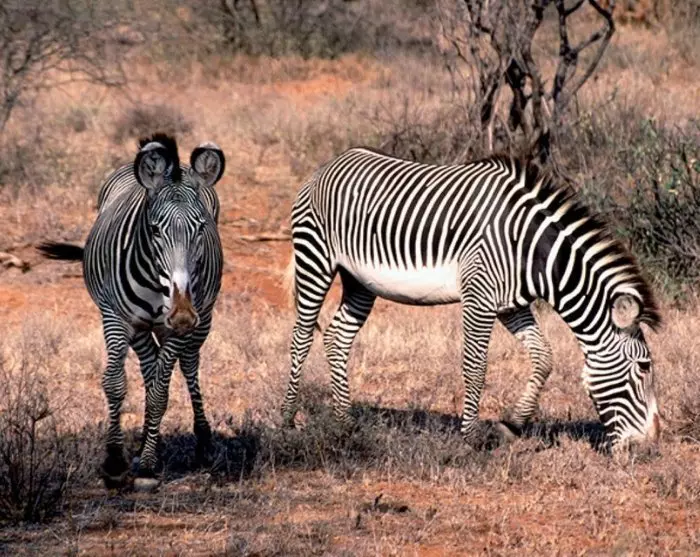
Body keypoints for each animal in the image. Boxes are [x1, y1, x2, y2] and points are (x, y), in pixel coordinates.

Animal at [38, 134, 225, 488]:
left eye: (200, 228)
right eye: (154, 230)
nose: (182, 316)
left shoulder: (178, 325)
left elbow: (160, 392)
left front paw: (150, 464)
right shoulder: (115, 317)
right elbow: (115, 383)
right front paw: (114, 461)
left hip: (201, 318)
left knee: (187, 367)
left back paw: (202, 444)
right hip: (139, 328)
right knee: (149, 368)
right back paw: (144, 444)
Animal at [282, 147, 661, 449]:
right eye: (644, 367)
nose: (649, 446)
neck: (529, 250)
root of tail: (331, 163)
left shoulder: (511, 304)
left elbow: (544, 357)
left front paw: (512, 425)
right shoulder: (479, 297)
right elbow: (476, 366)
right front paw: (470, 436)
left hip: (360, 281)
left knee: (337, 337)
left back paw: (345, 423)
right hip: (315, 258)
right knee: (301, 337)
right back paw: (288, 420)